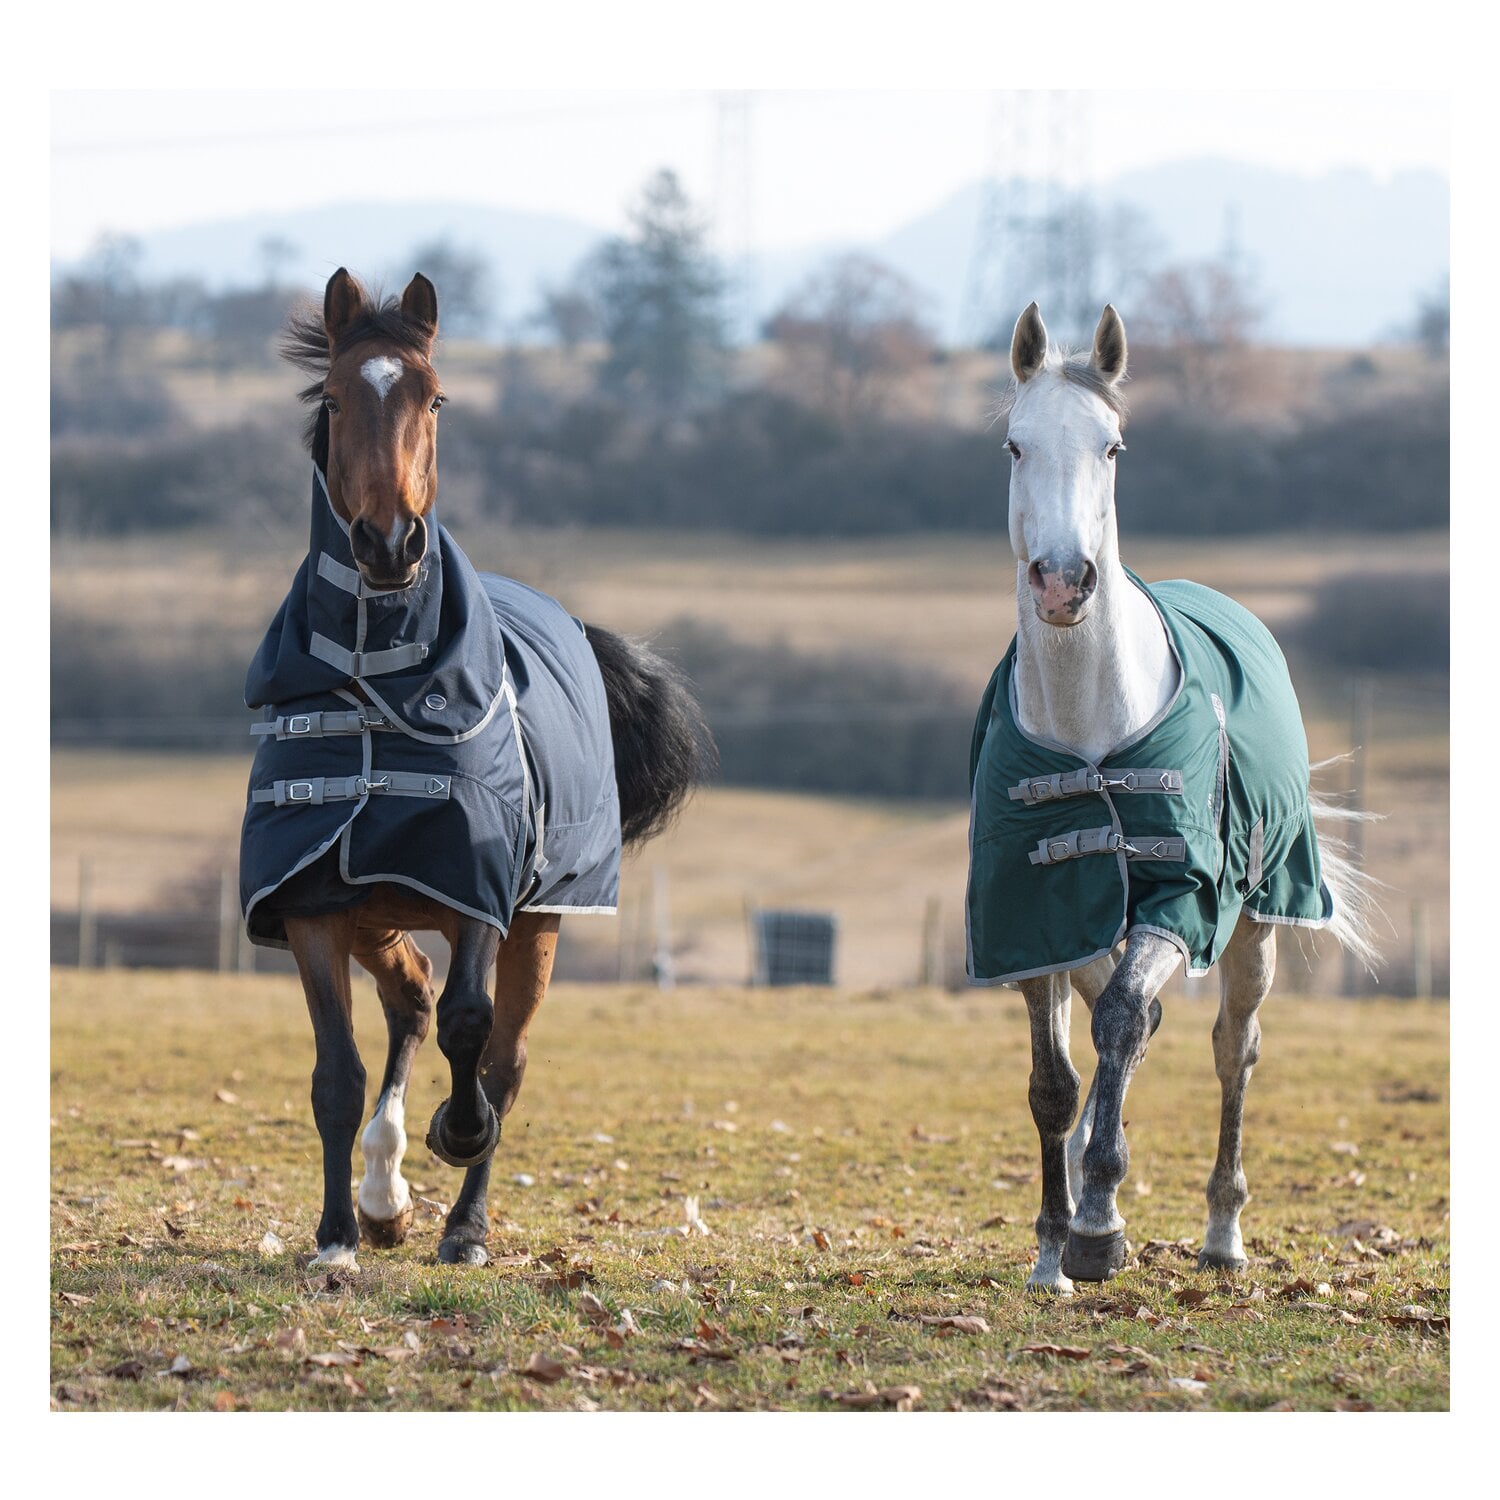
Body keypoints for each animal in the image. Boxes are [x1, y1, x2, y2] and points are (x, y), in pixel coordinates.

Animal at [240, 268, 713, 1269]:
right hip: (376, 908)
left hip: (538, 917)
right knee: (410, 1001)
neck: (378, 684)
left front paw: (458, 1136)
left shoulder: (479, 893)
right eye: (334, 399)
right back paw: (384, 1197)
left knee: (502, 1052)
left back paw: (464, 1222)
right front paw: (337, 1234)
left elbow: (473, 1029)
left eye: (434, 398)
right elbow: (336, 1073)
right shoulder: (313, 900)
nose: (388, 544)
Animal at [966, 303, 1380, 1293]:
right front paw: (1053, 1245)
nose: (1064, 580)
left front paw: (1097, 1227)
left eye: (1112, 447)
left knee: (1232, 1050)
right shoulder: (1033, 921)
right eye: (1014, 444)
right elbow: (1054, 1081)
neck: (1088, 724)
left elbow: (1124, 1021)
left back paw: (1223, 1233)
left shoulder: (1180, 902)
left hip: (1257, 925)